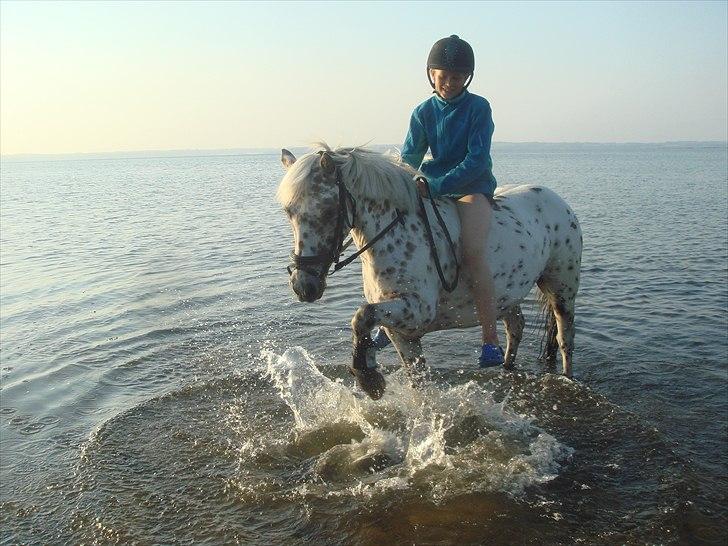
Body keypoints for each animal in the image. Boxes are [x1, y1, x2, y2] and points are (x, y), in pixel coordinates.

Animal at [276, 144, 584, 400]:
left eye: (328, 211)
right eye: (289, 212)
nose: (303, 285)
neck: (396, 232)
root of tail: (557, 200)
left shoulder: (417, 311)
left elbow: (361, 316)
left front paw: (368, 379)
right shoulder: (401, 332)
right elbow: (415, 379)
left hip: (562, 288)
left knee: (564, 337)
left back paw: (568, 377)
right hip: (508, 295)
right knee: (515, 326)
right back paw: (506, 366)